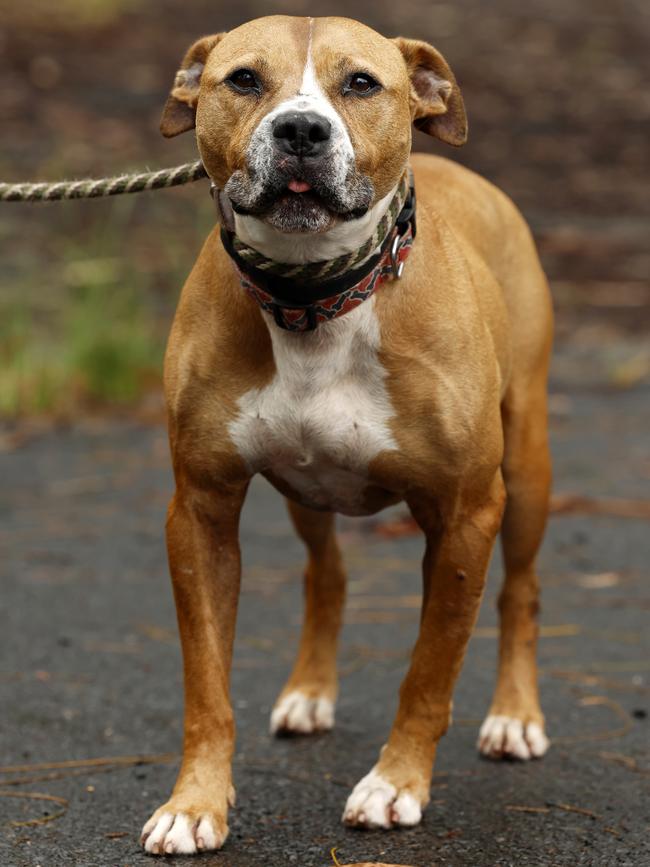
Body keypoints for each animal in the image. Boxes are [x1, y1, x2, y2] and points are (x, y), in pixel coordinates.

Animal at [139, 13, 548, 856]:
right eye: (243, 80)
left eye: (361, 83)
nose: (300, 129)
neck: (313, 298)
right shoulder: (200, 509)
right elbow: (206, 680)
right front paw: (195, 801)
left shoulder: (467, 513)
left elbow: (429, 668)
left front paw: (396, 783)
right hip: (309, 492)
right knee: (325, 574)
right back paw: (309, 692)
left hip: (524, 472)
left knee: (519, 591)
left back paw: (515, 715)